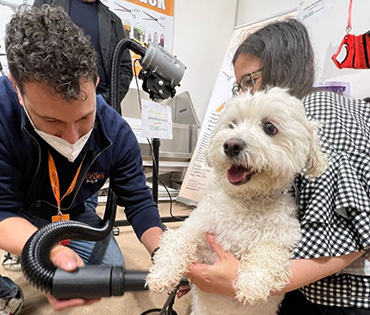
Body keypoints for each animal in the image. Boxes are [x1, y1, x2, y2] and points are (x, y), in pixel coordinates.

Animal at [147, 87, 326, 314]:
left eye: (269, 127)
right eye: (232, 124)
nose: (231, 145)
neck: (246, 201)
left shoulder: (281, 238)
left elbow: (268, 256)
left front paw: (252, 285)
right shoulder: (197, 227)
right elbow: (177, 241)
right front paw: (161, 274)